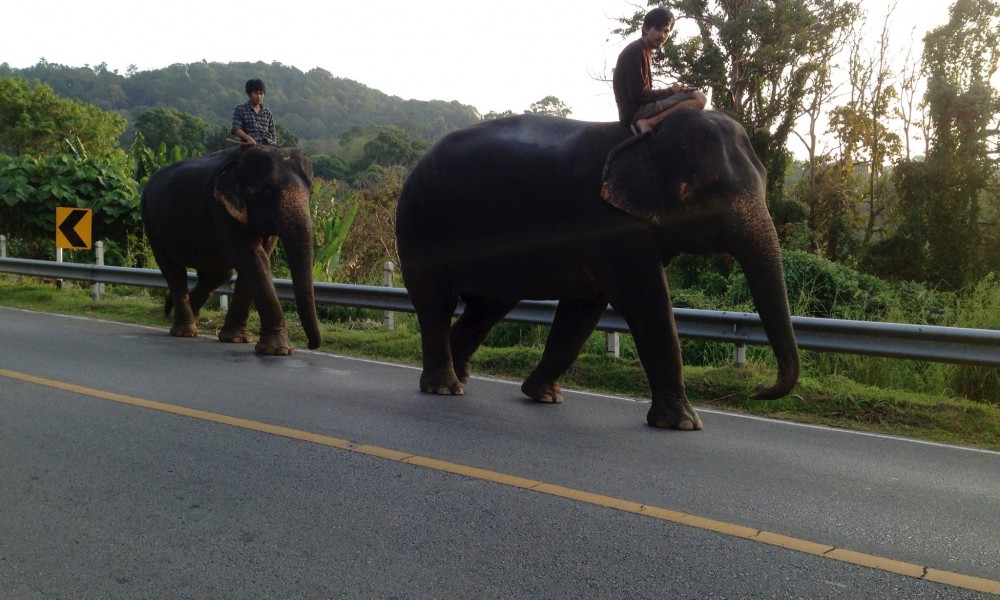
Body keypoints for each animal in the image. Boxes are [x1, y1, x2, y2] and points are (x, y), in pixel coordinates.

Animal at [141, 144, 318, 356]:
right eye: (267, 190)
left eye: (310, 193)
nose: (312, 345)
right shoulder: (221, 207)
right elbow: (253, 258)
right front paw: (278, 350)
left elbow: (257, 259)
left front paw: (236, 339)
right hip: (151, 221)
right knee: (173, 270)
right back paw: (185, 330)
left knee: (216, 275)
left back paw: (183, 313)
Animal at [394, 111, 800, 432]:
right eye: (713, 193)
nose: (758, 389)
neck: (644, 139)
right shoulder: (610, 224)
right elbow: (646, 301)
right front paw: (683, 424)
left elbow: (584, 309)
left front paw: (545, 396)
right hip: (420, 227)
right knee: (436, 303)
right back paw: (443, 387)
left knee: (487, 307)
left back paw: (459, 376)